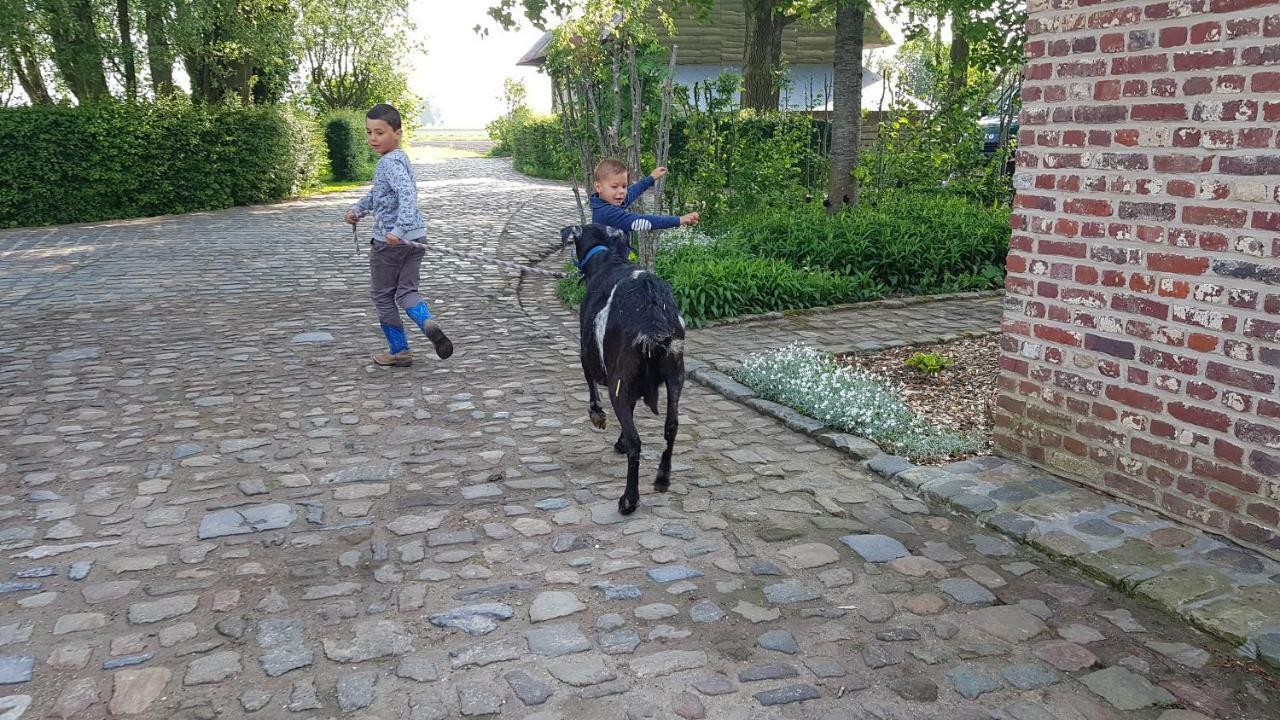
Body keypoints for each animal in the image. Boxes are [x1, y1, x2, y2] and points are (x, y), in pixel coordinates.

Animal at [558, 221, 680, 512]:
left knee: (637, 441)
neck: (608, 258)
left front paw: (597, 415)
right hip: (676, 376)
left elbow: (591, 384)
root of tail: (651, 313)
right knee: (671, 426)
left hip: (619, 382)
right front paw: (619, 441)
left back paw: (629, 499)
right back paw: (662, 479)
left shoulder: (588, 354)